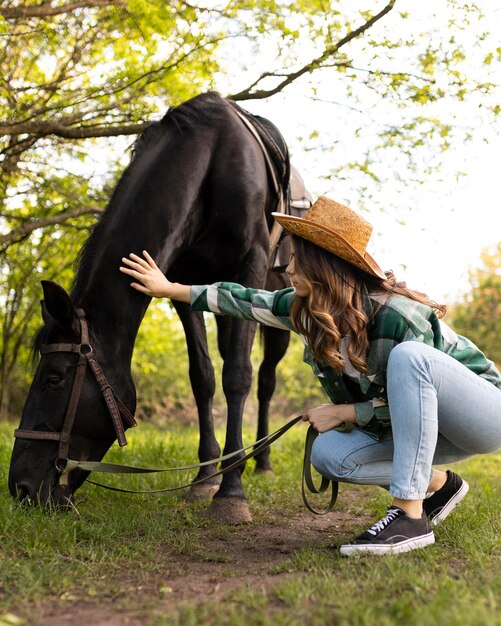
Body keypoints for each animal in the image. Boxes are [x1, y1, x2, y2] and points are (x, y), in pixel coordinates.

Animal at [7, 90, 292, 520]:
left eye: (53, 378)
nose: (20, 488)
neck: (211, 158)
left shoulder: (252, 264)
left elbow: (238, 376)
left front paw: (231, 492)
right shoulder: (181, 284)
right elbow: (203, 378)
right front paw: (204, 479)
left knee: (264, 380)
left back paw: (262, 461)